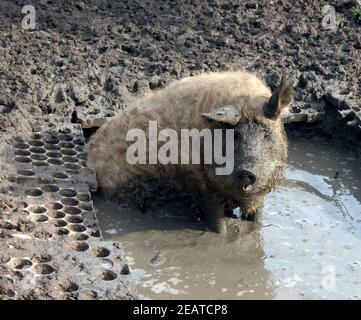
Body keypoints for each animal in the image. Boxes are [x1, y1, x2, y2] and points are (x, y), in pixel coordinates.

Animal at [87, 72, 292, 232]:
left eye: (266, 134)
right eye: (235, 134)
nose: (246, 172)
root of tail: (90, 159)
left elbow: (256, 222)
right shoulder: (202, 185)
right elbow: (218, 225)